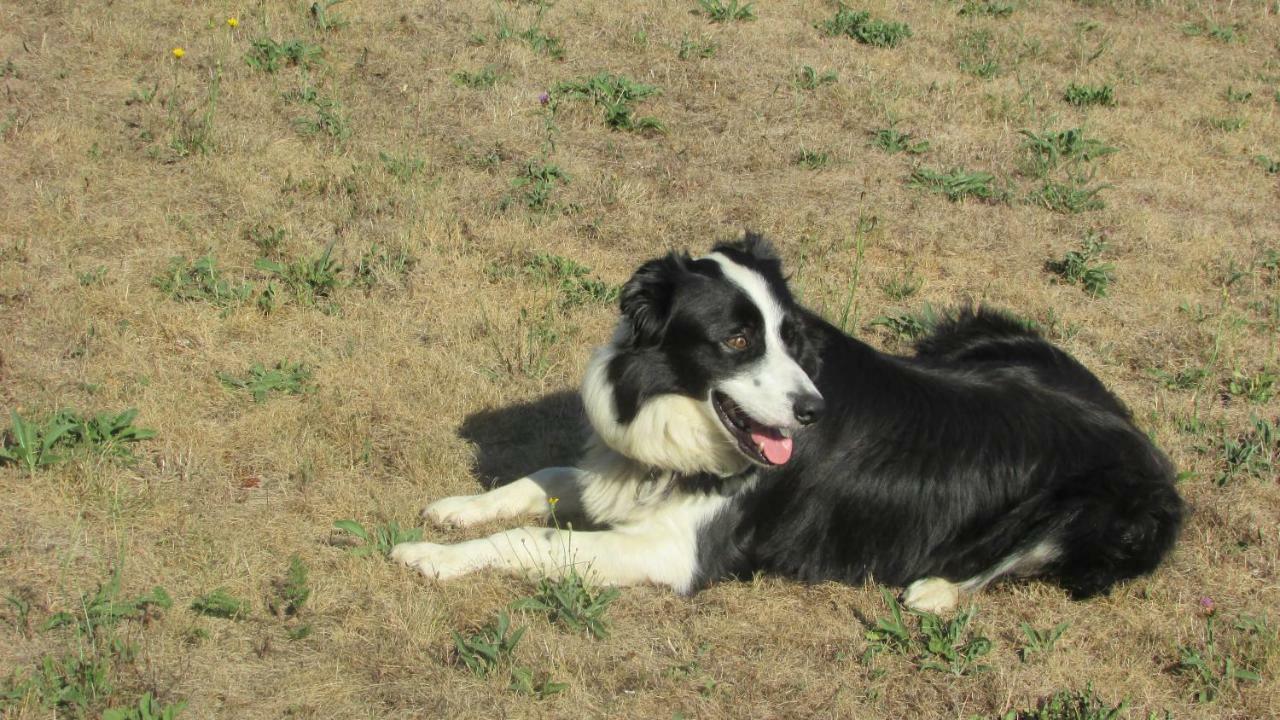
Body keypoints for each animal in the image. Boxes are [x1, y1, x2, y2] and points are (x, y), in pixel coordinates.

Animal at [386, 233, 1177, 607]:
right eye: (738, 340)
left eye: (790, 336)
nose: (812, 411)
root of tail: (1141, 436)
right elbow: (544, 476)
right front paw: (457, 509)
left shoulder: (676, 552)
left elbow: (535, 538)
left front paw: (435, 558)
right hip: (985, 327)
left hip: (1100, 510)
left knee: (1013, 560)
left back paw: (936, 591)